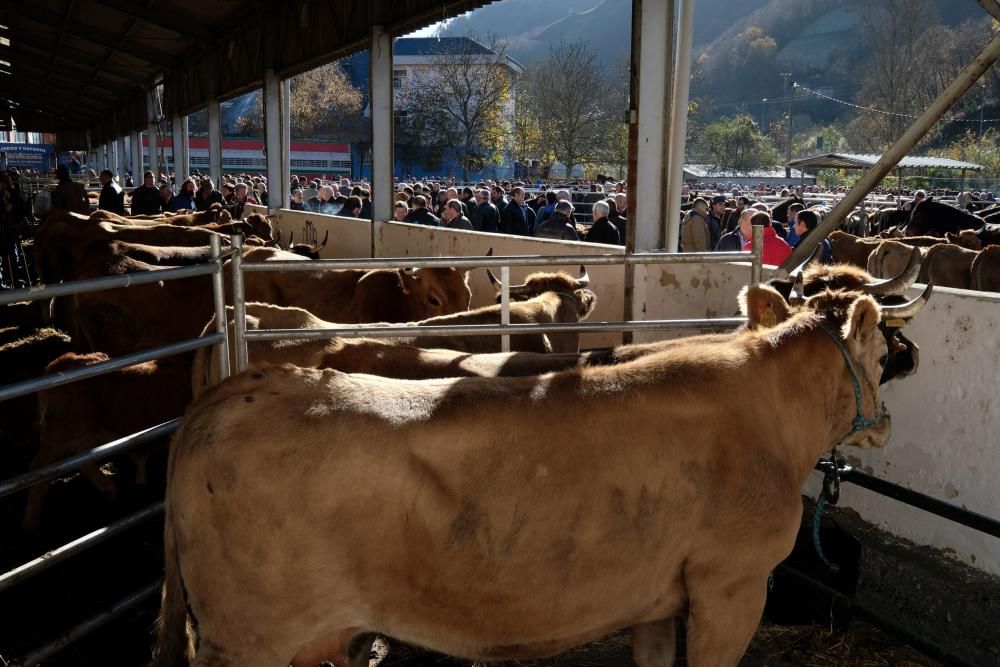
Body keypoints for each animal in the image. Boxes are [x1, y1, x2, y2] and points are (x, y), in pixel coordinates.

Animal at [156, 286, 908, 667]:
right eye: (880, 350)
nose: (887, 422)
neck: (769, 416)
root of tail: (234, 391)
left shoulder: (659, 595)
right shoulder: (733, 585)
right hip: (247, 639)